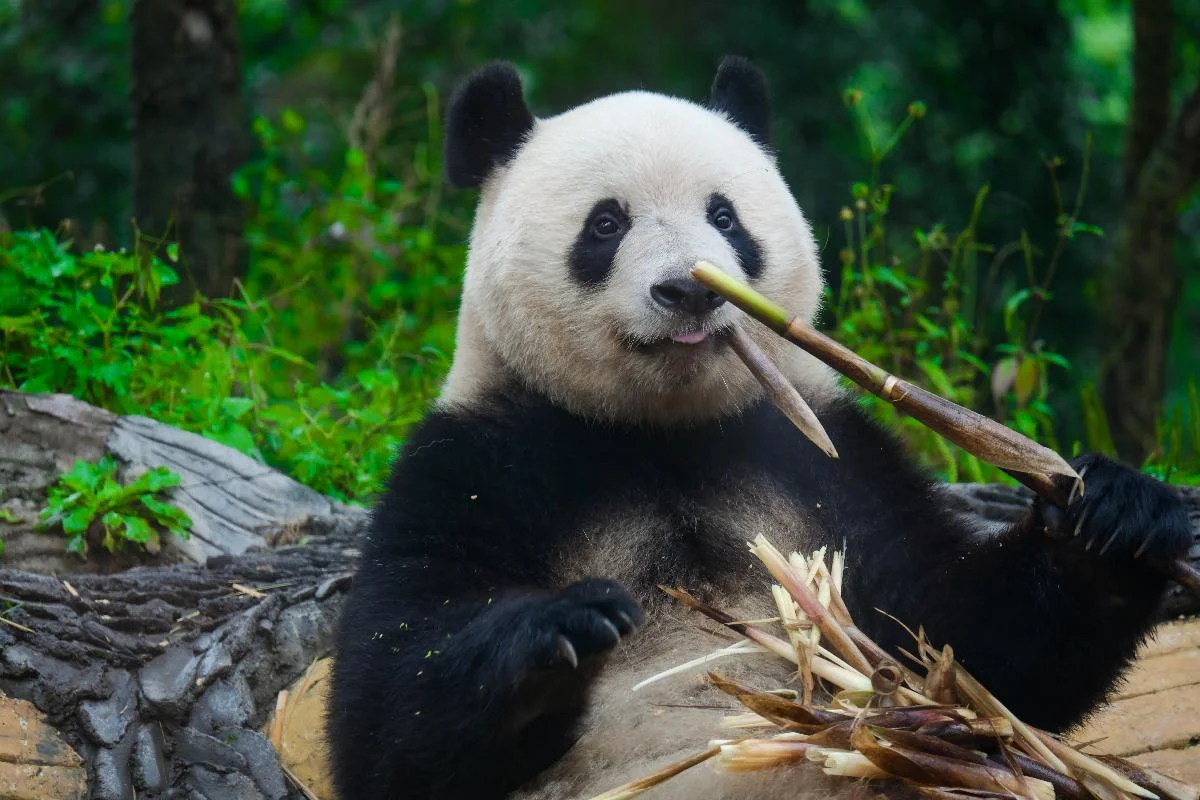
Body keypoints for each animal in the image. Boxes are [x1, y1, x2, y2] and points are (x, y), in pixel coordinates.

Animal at [326, 57, 1192, 800]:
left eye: (724, 216)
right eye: (605, 224)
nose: (688, 291)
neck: (657, 432)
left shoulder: (832, 461)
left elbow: (968, 649)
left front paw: (1116, 516)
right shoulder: (478, 461)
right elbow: (386, 717)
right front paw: (561, 629)